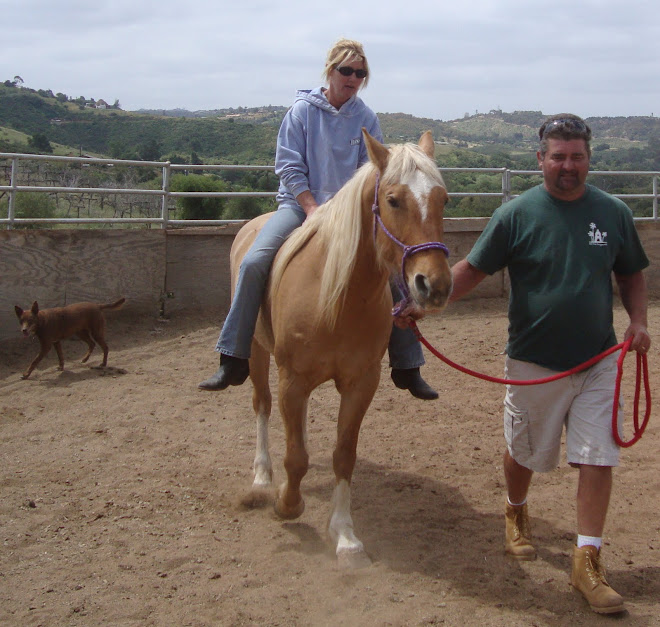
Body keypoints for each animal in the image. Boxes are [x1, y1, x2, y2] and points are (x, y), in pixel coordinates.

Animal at [229, 129, 452, 568]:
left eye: (443, 199)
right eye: (393, 200)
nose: (433, 285)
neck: (335, 295)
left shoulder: (360, 383)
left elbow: (342, 455)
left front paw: (346, 536)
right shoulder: (293, 380)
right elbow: (295, 457)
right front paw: (287, 504)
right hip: (257, 352)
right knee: (262, 406)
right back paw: (262, 478)